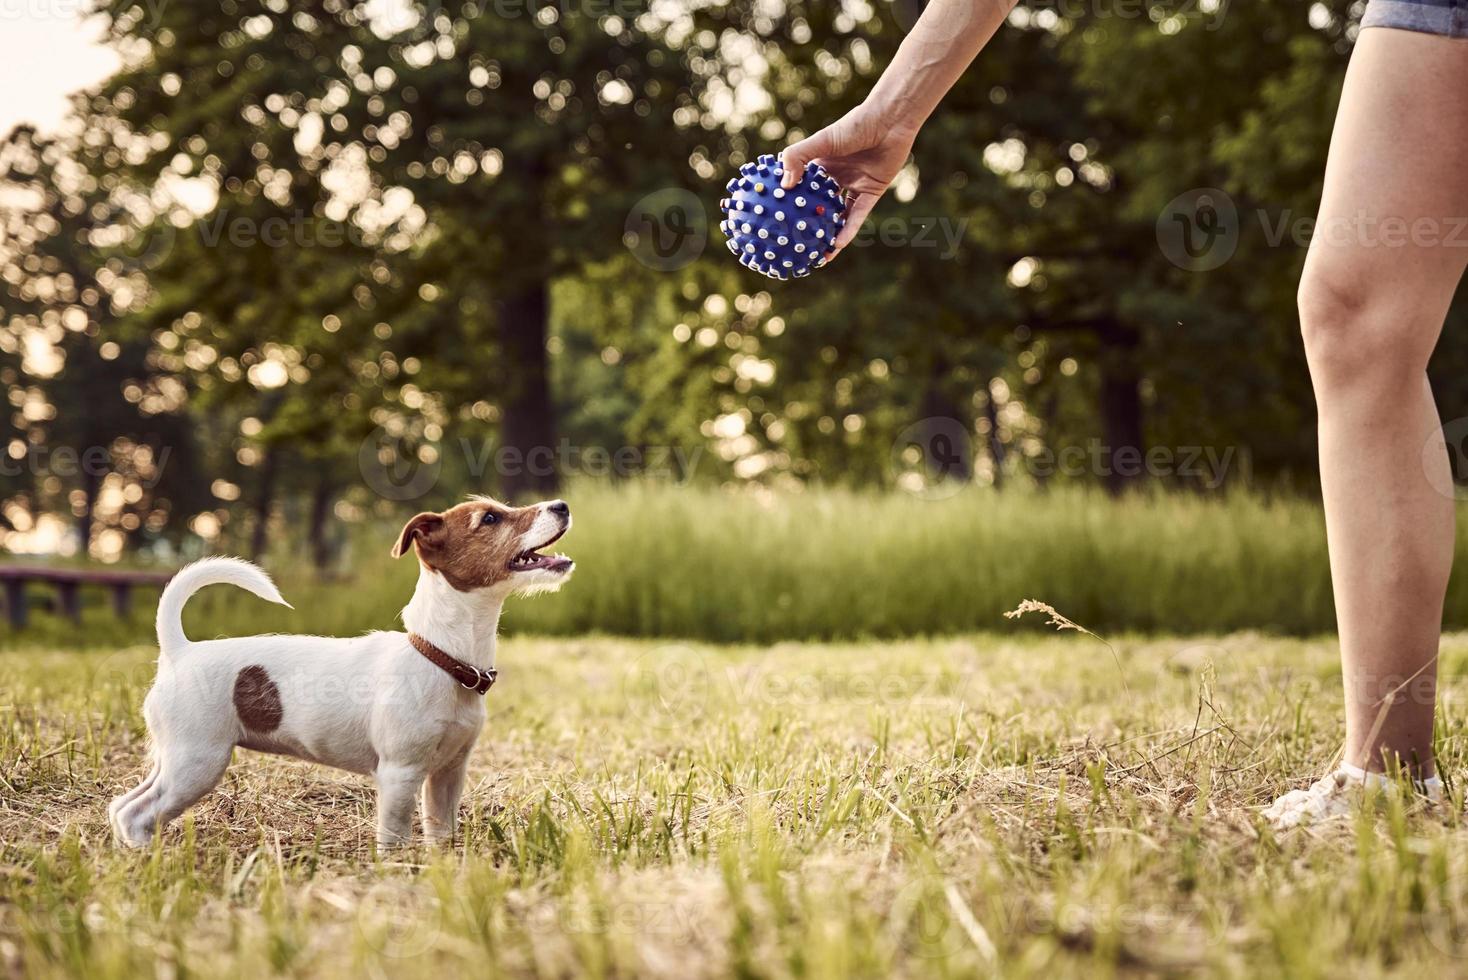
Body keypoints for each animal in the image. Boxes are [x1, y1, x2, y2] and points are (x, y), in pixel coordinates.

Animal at [107, 492, 572, 845]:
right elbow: (395, 838)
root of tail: (179, 652)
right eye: (490, 518)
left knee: (122, 807)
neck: (440, 654)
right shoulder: (399, 775)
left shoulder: (447, 774)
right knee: (138, 814)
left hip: (173, 760)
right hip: (197, 762)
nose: (562, 505)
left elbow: (440, 834)